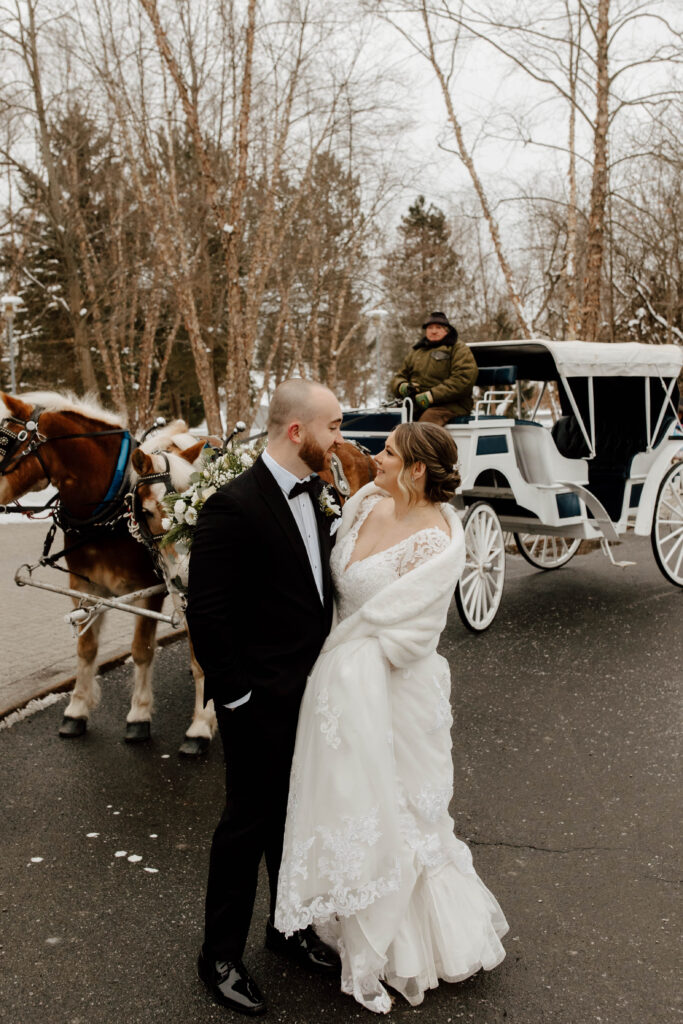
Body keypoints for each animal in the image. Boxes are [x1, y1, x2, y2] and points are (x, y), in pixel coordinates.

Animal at [0, 387, 214, 757]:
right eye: (144, 510)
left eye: (5, 442)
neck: (106, 511)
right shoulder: (85, 587)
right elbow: (86, 649)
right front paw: (77, 710)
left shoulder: (151, 590)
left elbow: (142, 650)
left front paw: (143, 717)